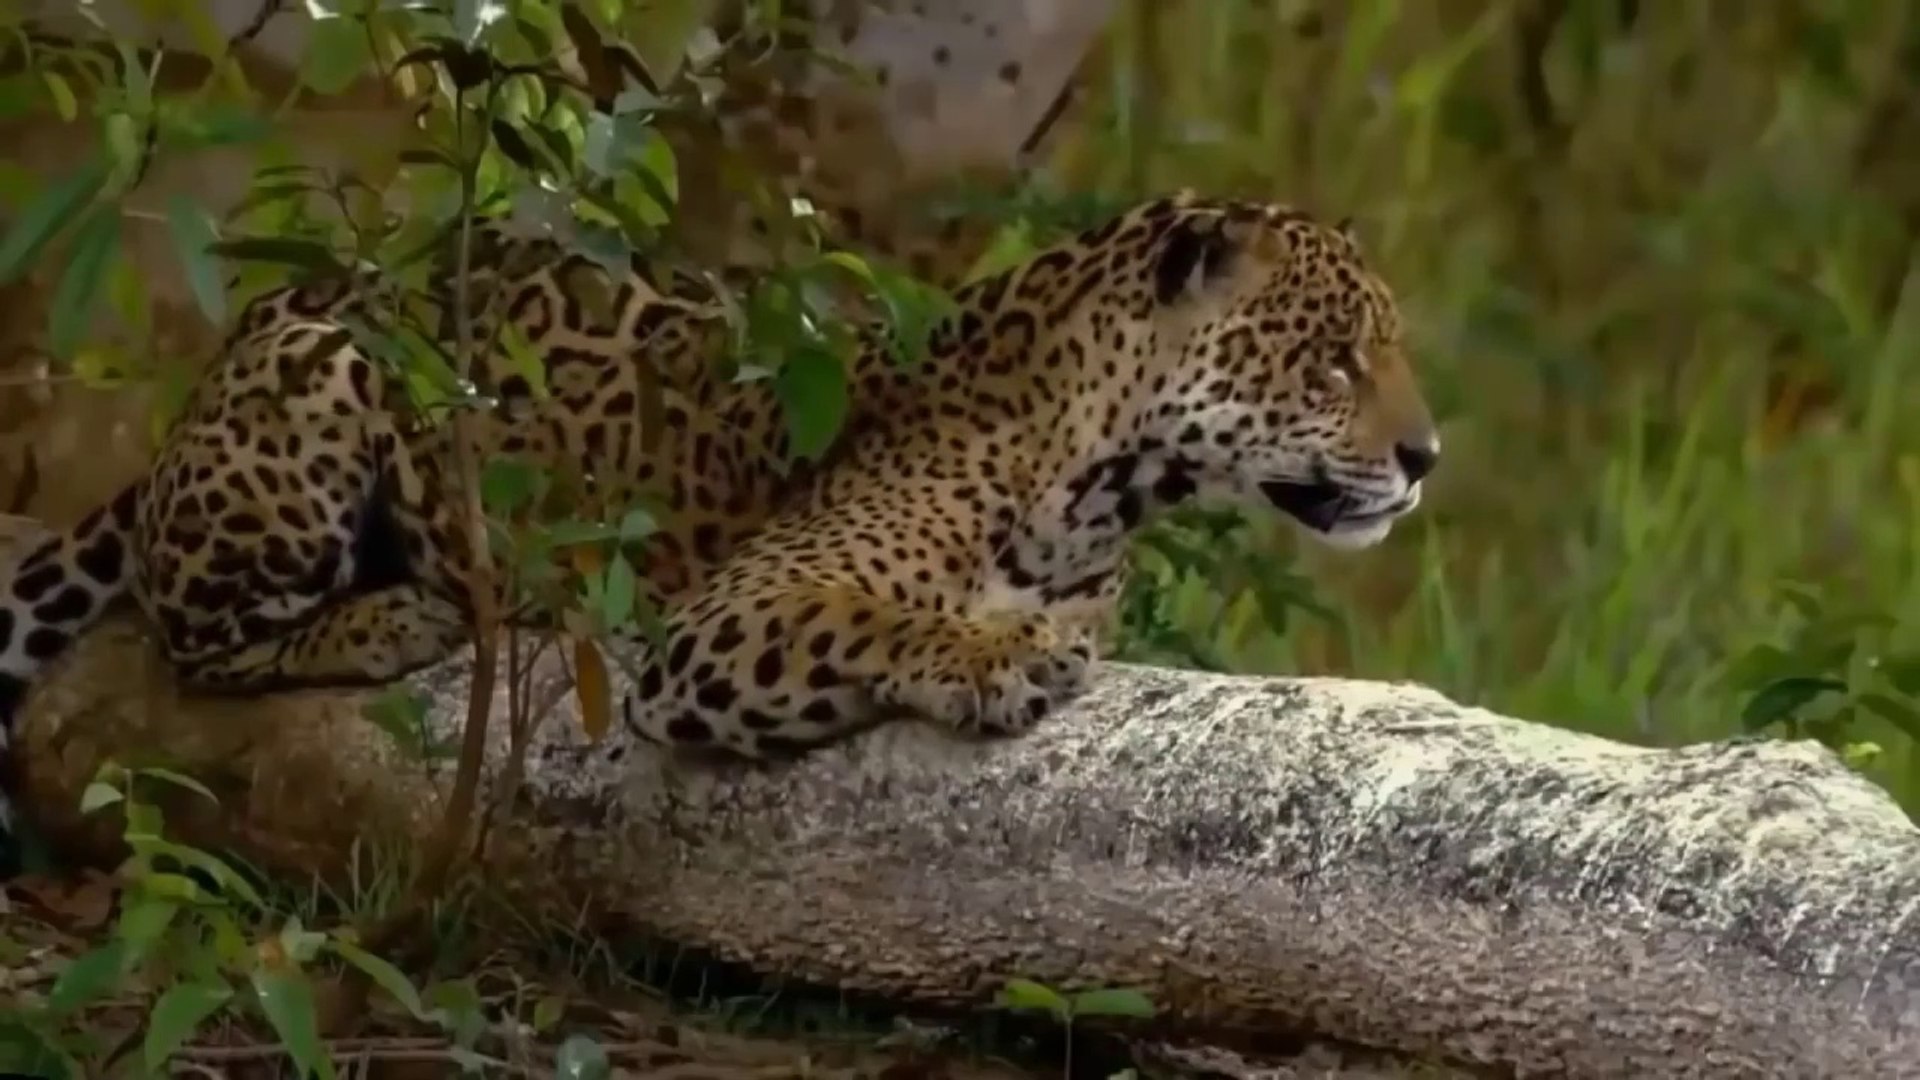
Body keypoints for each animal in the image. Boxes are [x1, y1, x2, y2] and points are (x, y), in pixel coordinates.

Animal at [0, 190, 1439, 864]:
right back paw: (396, 611)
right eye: (1331, 359)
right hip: (319, 389)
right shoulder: (717, 624)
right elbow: (873, 618)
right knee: (191, 628)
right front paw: (990, 661)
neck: (1107, 482)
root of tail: (259, 320)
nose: (1425, 459)